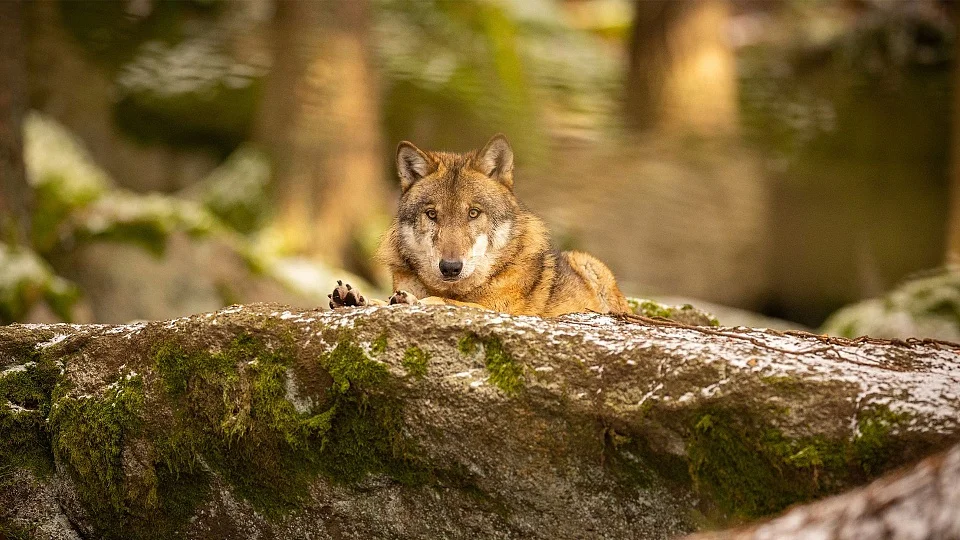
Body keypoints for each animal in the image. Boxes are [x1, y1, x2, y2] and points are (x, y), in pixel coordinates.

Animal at [329, 134, 631, 317]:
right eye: (432, 214)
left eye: (473, 213)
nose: (450, 267)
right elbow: (382, 300)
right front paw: (356, 298)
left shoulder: (503, 311)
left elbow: (453, 304)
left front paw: (415, 301)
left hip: (590, 264)